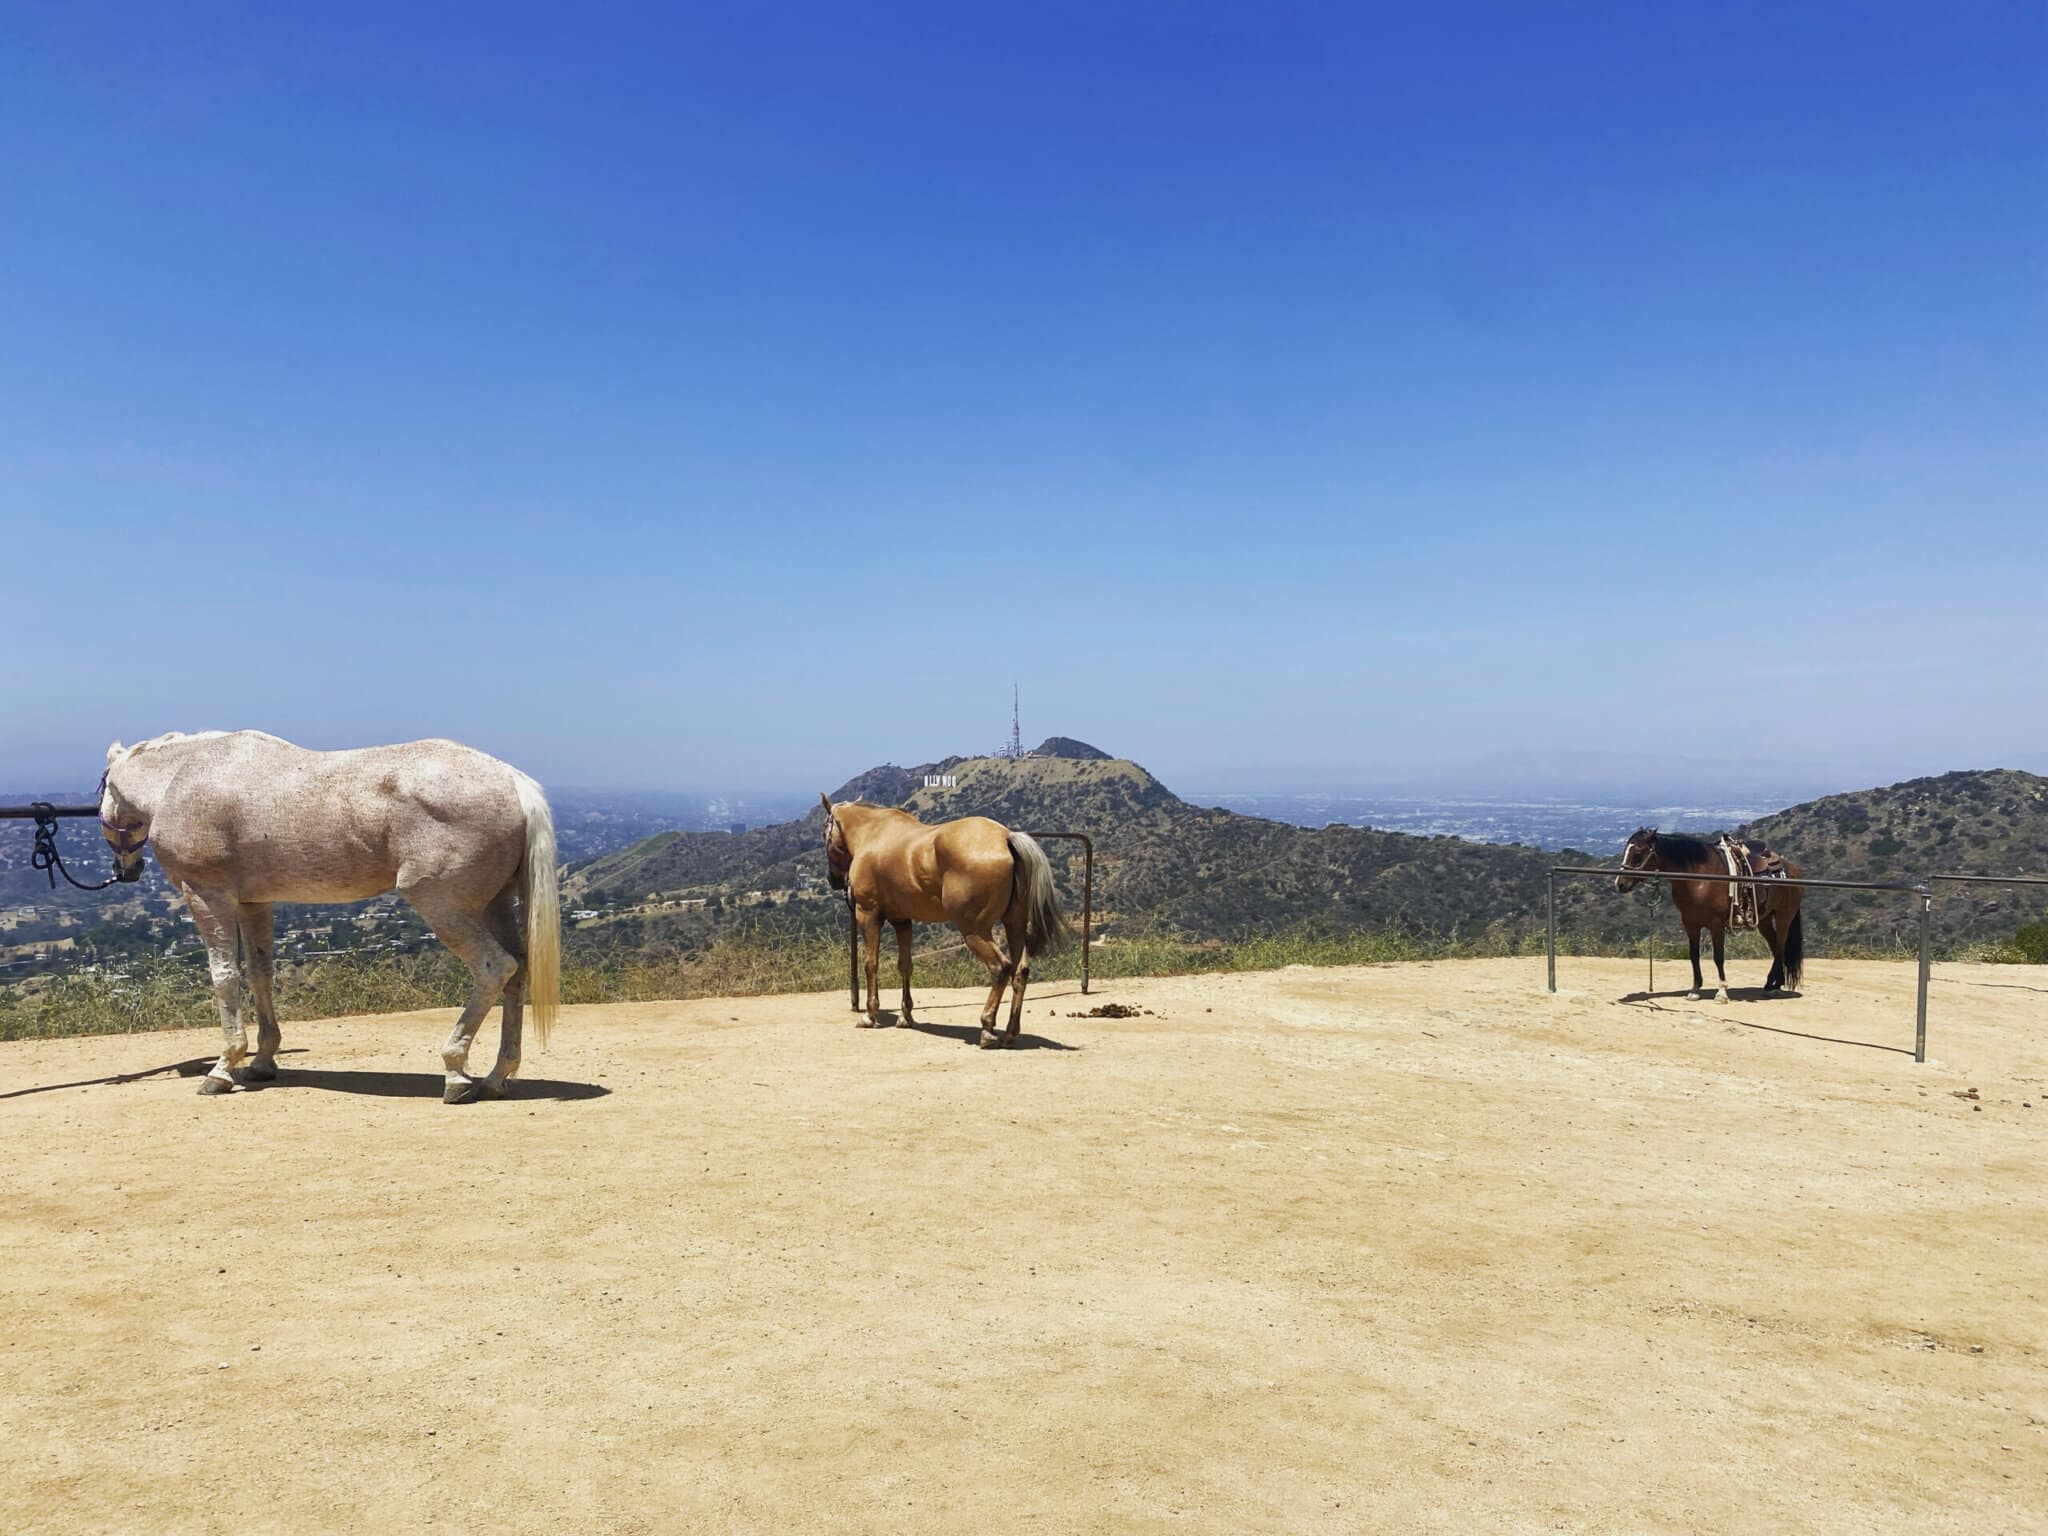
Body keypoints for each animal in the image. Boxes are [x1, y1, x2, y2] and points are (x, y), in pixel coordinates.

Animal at [99, 731, 559, 1102]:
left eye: (103, 787)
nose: (127, 870)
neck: (181, 777)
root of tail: (513, 782)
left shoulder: (208, 896)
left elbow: (225, 977)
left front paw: (223, 1068)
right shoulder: (254, 904)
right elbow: (260, 974)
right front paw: (263, 1061)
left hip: (443, 906)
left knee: (494, 967)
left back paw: (456, 1072)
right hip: (494, 904)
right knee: (518, 970)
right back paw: (497, 1078)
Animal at [821, 796, 1069, 1047]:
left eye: (825, 832)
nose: (833, 879)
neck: (873, 832)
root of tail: (1006, 838)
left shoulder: (868, 914)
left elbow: (871, 964)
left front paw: (870, 1015)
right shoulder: (902, 920)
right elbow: (905, 966)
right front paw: (905, 1016)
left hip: (974, 931)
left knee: (1000, 967)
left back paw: (987, 1027)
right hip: (1015, 924)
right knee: (1020, 971)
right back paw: (1010, 1032)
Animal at [1615, 828, 1805, 1002]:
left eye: (1638, 853)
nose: (1620, 884)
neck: (1699, 876)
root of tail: (1793, 870)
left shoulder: (1716, 924)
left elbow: (1718, 957)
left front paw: (1721, 992)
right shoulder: (1690, 922)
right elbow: (1694, 955)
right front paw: (1695, 989)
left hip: (1783, 916)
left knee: (1780, 946)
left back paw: (1773, 985)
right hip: (1764, 920)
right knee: (1775, 947)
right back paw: (1773, 984)